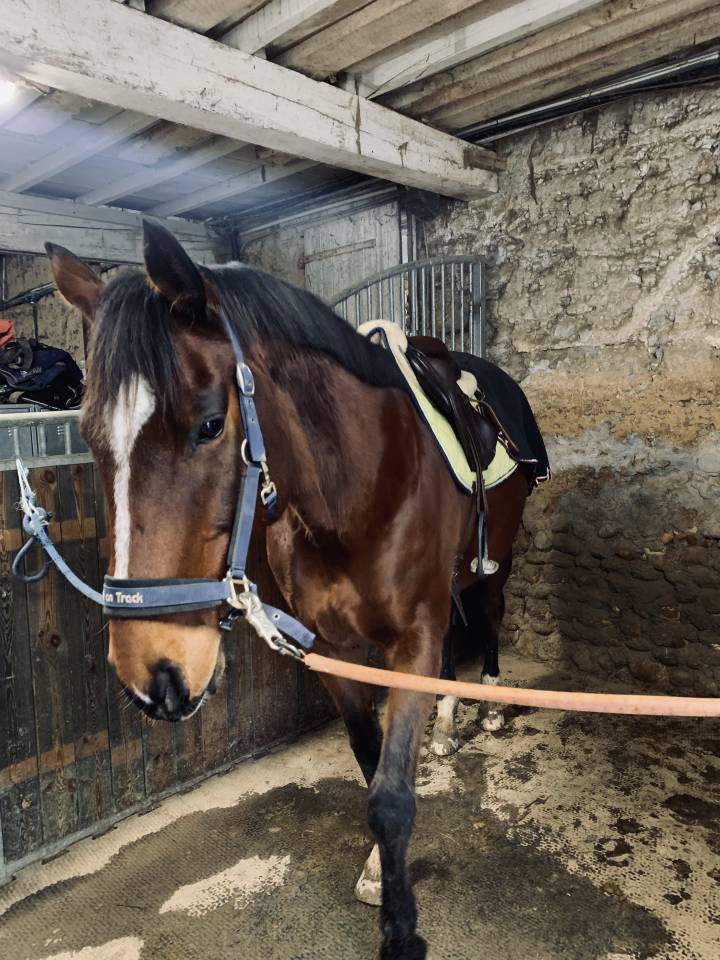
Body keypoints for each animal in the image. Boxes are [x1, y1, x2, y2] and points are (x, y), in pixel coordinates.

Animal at [46, 221, 542, 960]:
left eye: (209, 424)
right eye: (90, 437)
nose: (154, 675)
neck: (360, 490)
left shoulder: (411, 641)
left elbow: (392, 797)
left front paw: (401, 930)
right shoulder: (330, 650)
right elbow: (372, 763)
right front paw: (379, 870)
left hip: (495, 557)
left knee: (488, 612)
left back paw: (482, 707)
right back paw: (450, 722)